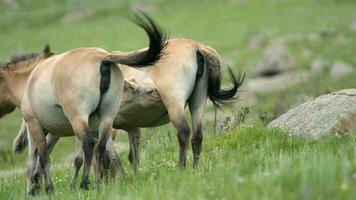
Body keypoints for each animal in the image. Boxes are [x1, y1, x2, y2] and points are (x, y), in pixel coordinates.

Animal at [0, 12, 167, 194]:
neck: (32, 79)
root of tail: (103, 58)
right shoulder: (56, 131)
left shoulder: (35, 125)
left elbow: (42, 157)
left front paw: (45, 188)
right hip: (107, 117)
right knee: (101, 147)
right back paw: (99, 183)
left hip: (78, 118)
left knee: (89, 145)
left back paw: (85, 183)